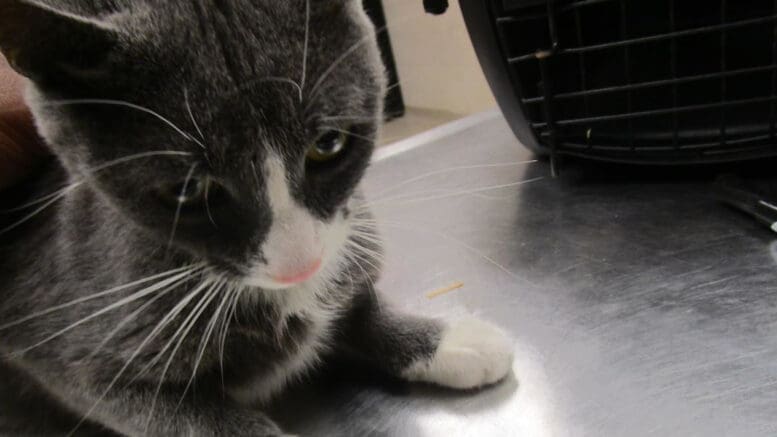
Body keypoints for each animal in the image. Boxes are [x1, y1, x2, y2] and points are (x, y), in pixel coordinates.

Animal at [0, 1, 516, 434]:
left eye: (328, 143)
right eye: (189, 190)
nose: (300, 265)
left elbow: (353, 307)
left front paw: (449, 340)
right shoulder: (73, 343)